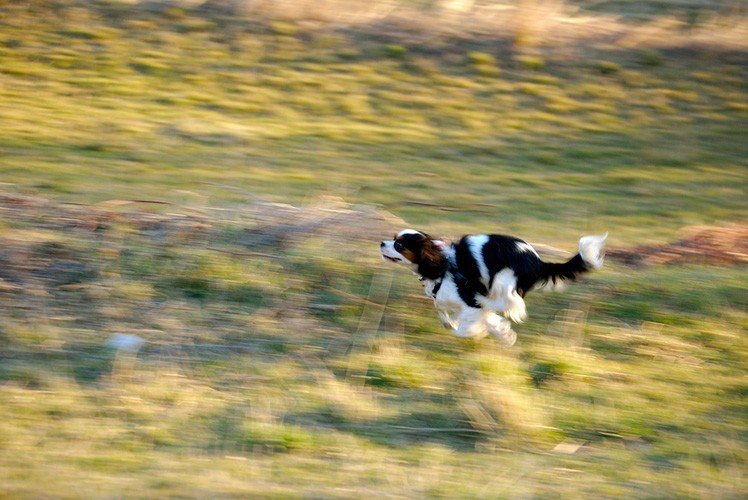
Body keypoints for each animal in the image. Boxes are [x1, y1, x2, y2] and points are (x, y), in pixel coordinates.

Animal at [380, 229, 608, 344]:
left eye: (399, 245)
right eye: (392, 239)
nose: (382, 243)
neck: (441, 263)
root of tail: (538, 261)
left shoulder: (471, 302)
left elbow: (465, 328)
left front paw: (481, 332)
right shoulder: (456, 303)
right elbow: (448, 315)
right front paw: (500, 331)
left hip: (502, 281)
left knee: (510, 303)